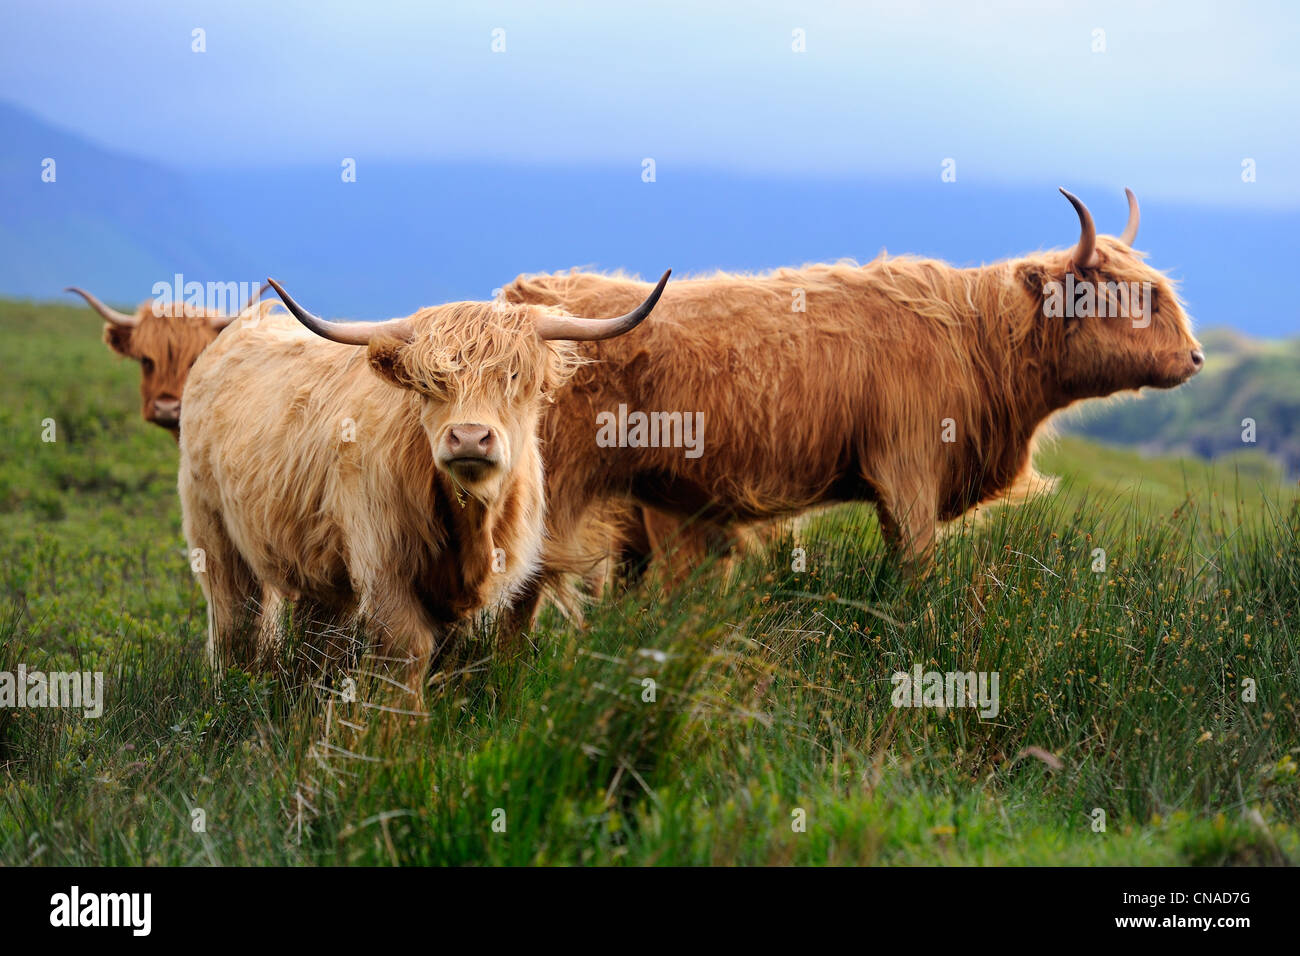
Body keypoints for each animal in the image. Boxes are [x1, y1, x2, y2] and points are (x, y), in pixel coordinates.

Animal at [176, 274, 670, 681]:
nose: (469, 437)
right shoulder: (383, 564)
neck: (470, 522)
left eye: (513, 375)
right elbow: (408, 649)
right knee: (235, 621)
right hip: (214, 537)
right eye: (431, 384)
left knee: (316, 635)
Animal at [501, 189, 1201, 632]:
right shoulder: (908, 466)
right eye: (1132, 294)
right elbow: (915, 567)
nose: (1195, 357)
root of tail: (528, 299)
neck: (980, 341)